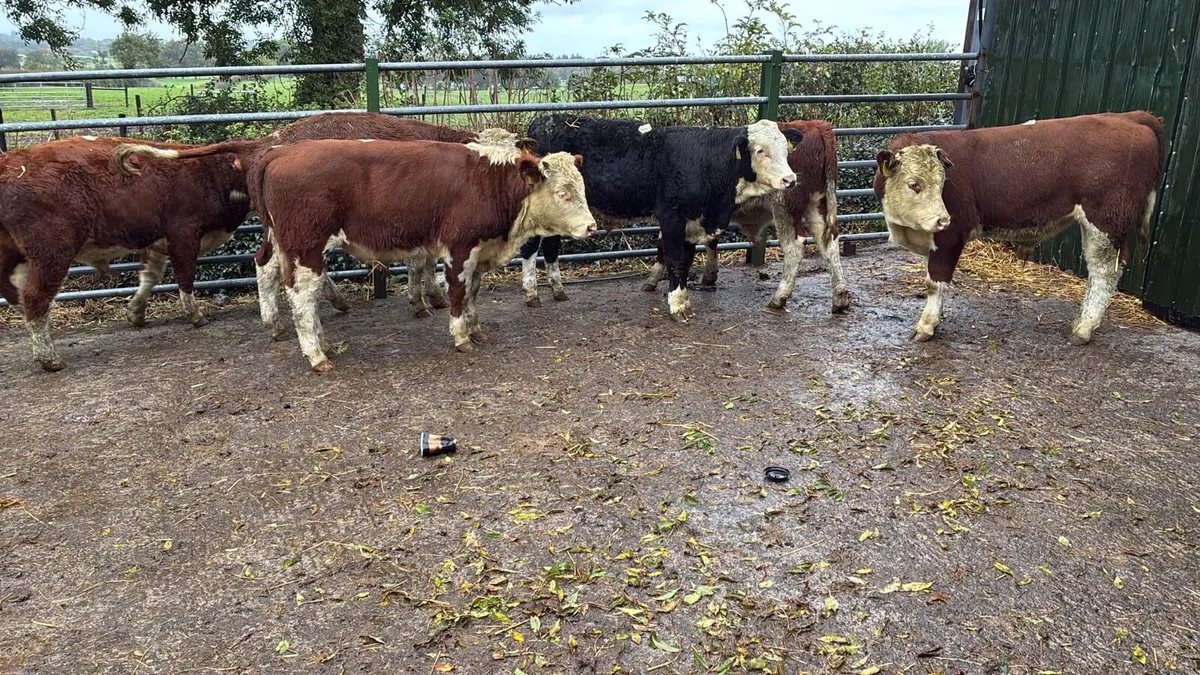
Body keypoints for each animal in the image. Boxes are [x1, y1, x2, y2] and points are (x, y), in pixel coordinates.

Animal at [0, 135, 249, 371]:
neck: (212, 173)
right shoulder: (184, 233)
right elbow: (185, 275)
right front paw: (196, 316)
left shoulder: (156, 240)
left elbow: (151, 276)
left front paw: (136, 312)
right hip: (51, 252)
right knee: (35, 295)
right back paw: (49, 358)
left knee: (12, 291)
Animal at [243, 138, 595, 371]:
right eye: (562, 193)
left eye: (582, 188)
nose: (591, 227)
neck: (487, 182)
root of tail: (281, 151)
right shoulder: (458, 249)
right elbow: (457, 292)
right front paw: (461, 337)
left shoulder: (479, 251)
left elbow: (472, 292)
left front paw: (476, 329)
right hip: (306, 249)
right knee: (302, 296)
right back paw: (316, 354)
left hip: (284, 244)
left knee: (274, 273)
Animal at [523, 115, 801, 320]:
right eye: (760, 151)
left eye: (785, 150)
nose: (790, 179)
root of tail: (544, 119)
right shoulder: (671, 216)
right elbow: (676, 260)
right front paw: (678, 306)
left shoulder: (692, 222)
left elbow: (686, 261)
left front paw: (683, 298)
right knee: (530, 246)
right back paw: (532, 294)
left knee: (551, 246)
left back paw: (558, 290)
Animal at [642, 119, 851, 313]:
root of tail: (815, 125)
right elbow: (707, 241)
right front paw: (709, 275)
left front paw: (653, 278)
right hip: (817, 206)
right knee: (829, 244)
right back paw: (840, 296)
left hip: (785, 208)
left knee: (795, 247)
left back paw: (779, 297)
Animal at [873, 111, 1166, 345]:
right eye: (914, 184)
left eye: (944, 183)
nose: (943, 220)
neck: (904, 226)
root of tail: (1130, 117)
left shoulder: (950, 238)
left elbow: (935, 283)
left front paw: (927, 325)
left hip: (1105, 221)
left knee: (1104, 272)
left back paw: (1083, 328)